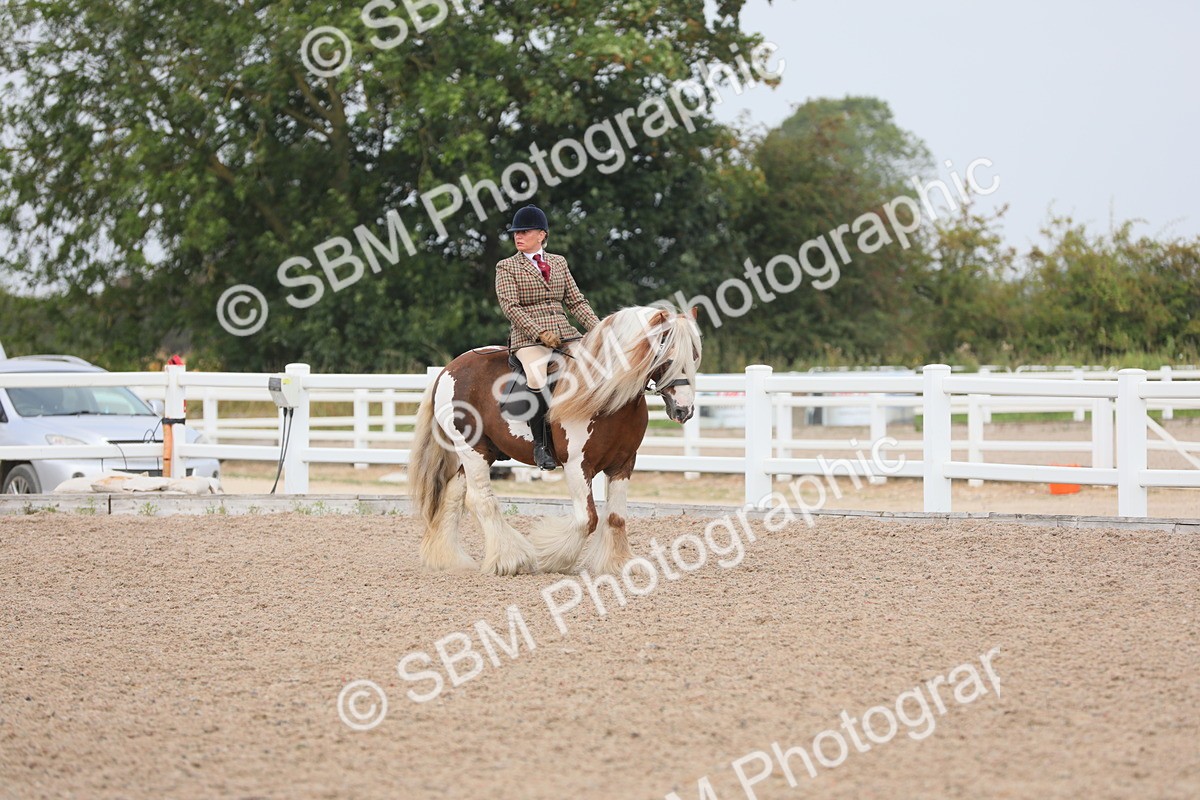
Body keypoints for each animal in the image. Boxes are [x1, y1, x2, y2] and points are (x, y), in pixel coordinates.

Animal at [409, 305, 702, 576]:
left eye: (695, 357)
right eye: (668, 358)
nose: (683, 410)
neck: (605, 395)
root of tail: (449, 369)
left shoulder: (623, 463)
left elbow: (616, 517)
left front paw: (620, 564)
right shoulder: (577, 465)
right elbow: (587, 519)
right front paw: (554, 559)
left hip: (482, 453)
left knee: (453, 494)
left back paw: (449, 559)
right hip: (473, 450)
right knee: (481, 499)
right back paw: (510, 560)